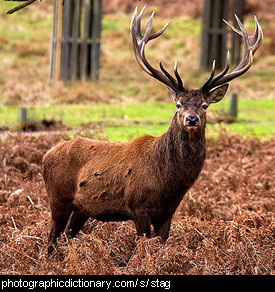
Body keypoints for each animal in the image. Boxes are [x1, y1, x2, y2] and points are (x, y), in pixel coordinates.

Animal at [43, 5, 264, 254]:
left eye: (204, 105)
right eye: (178, 104)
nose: (191, 119)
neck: (168, 183)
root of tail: (47, 154)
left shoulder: (167, 213)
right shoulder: (138, 206)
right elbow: (143, 246)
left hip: (82, 209)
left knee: (67, 236)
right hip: (58, 199)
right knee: (52, 238)